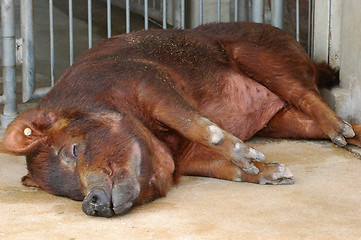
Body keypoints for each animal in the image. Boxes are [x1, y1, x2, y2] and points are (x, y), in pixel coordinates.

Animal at [1, 22, 358, 218]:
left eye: (73, 150)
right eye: (69, 192)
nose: (92, 202)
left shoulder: (147, 81)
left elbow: (198, 125)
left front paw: (250, 157)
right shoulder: (187, 158)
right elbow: (223, 169)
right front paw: (277, 174)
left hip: (263, 56)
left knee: (309, 95)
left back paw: (339, 131)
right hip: (280, 120)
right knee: (323, 121)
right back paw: (350, 139)